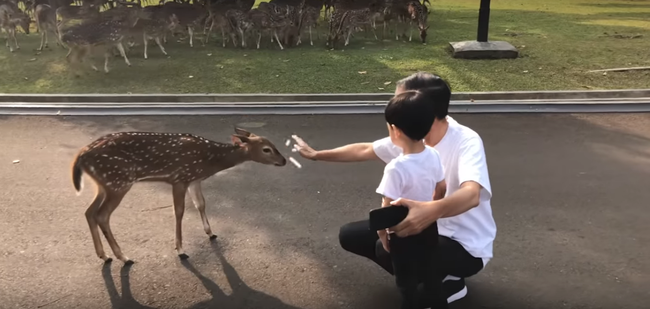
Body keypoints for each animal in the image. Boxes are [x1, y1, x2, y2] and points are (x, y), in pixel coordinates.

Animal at [71, 127, 286, 262]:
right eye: (267, 149)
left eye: (274, 145)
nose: (283, 160)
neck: (209, 160)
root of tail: (81, 155)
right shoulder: (179, 178)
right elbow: (179, 211)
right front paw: (181, 250)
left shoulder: (194, 179)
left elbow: (201, 203)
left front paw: (210, 232)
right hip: (118, 181)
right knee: (102, 215)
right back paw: (124, 257)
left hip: (104, 184)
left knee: (89, 212)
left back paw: (104, 255)